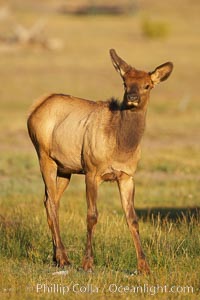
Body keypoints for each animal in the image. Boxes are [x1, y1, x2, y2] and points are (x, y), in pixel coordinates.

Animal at [27, 49, 173, 274]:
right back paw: (64, 258)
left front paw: (144, 267)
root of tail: (34, 109)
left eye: (147, 85)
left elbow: (132, 218)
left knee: (50, 200)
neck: (121, 146)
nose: (132, 97)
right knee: (50, 201)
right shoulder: (91, 171)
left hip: (65, 168)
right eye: (125, 82)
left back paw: (56, 256)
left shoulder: (127, 176)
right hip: (44, 156)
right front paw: (87, 263)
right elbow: (92, 215)